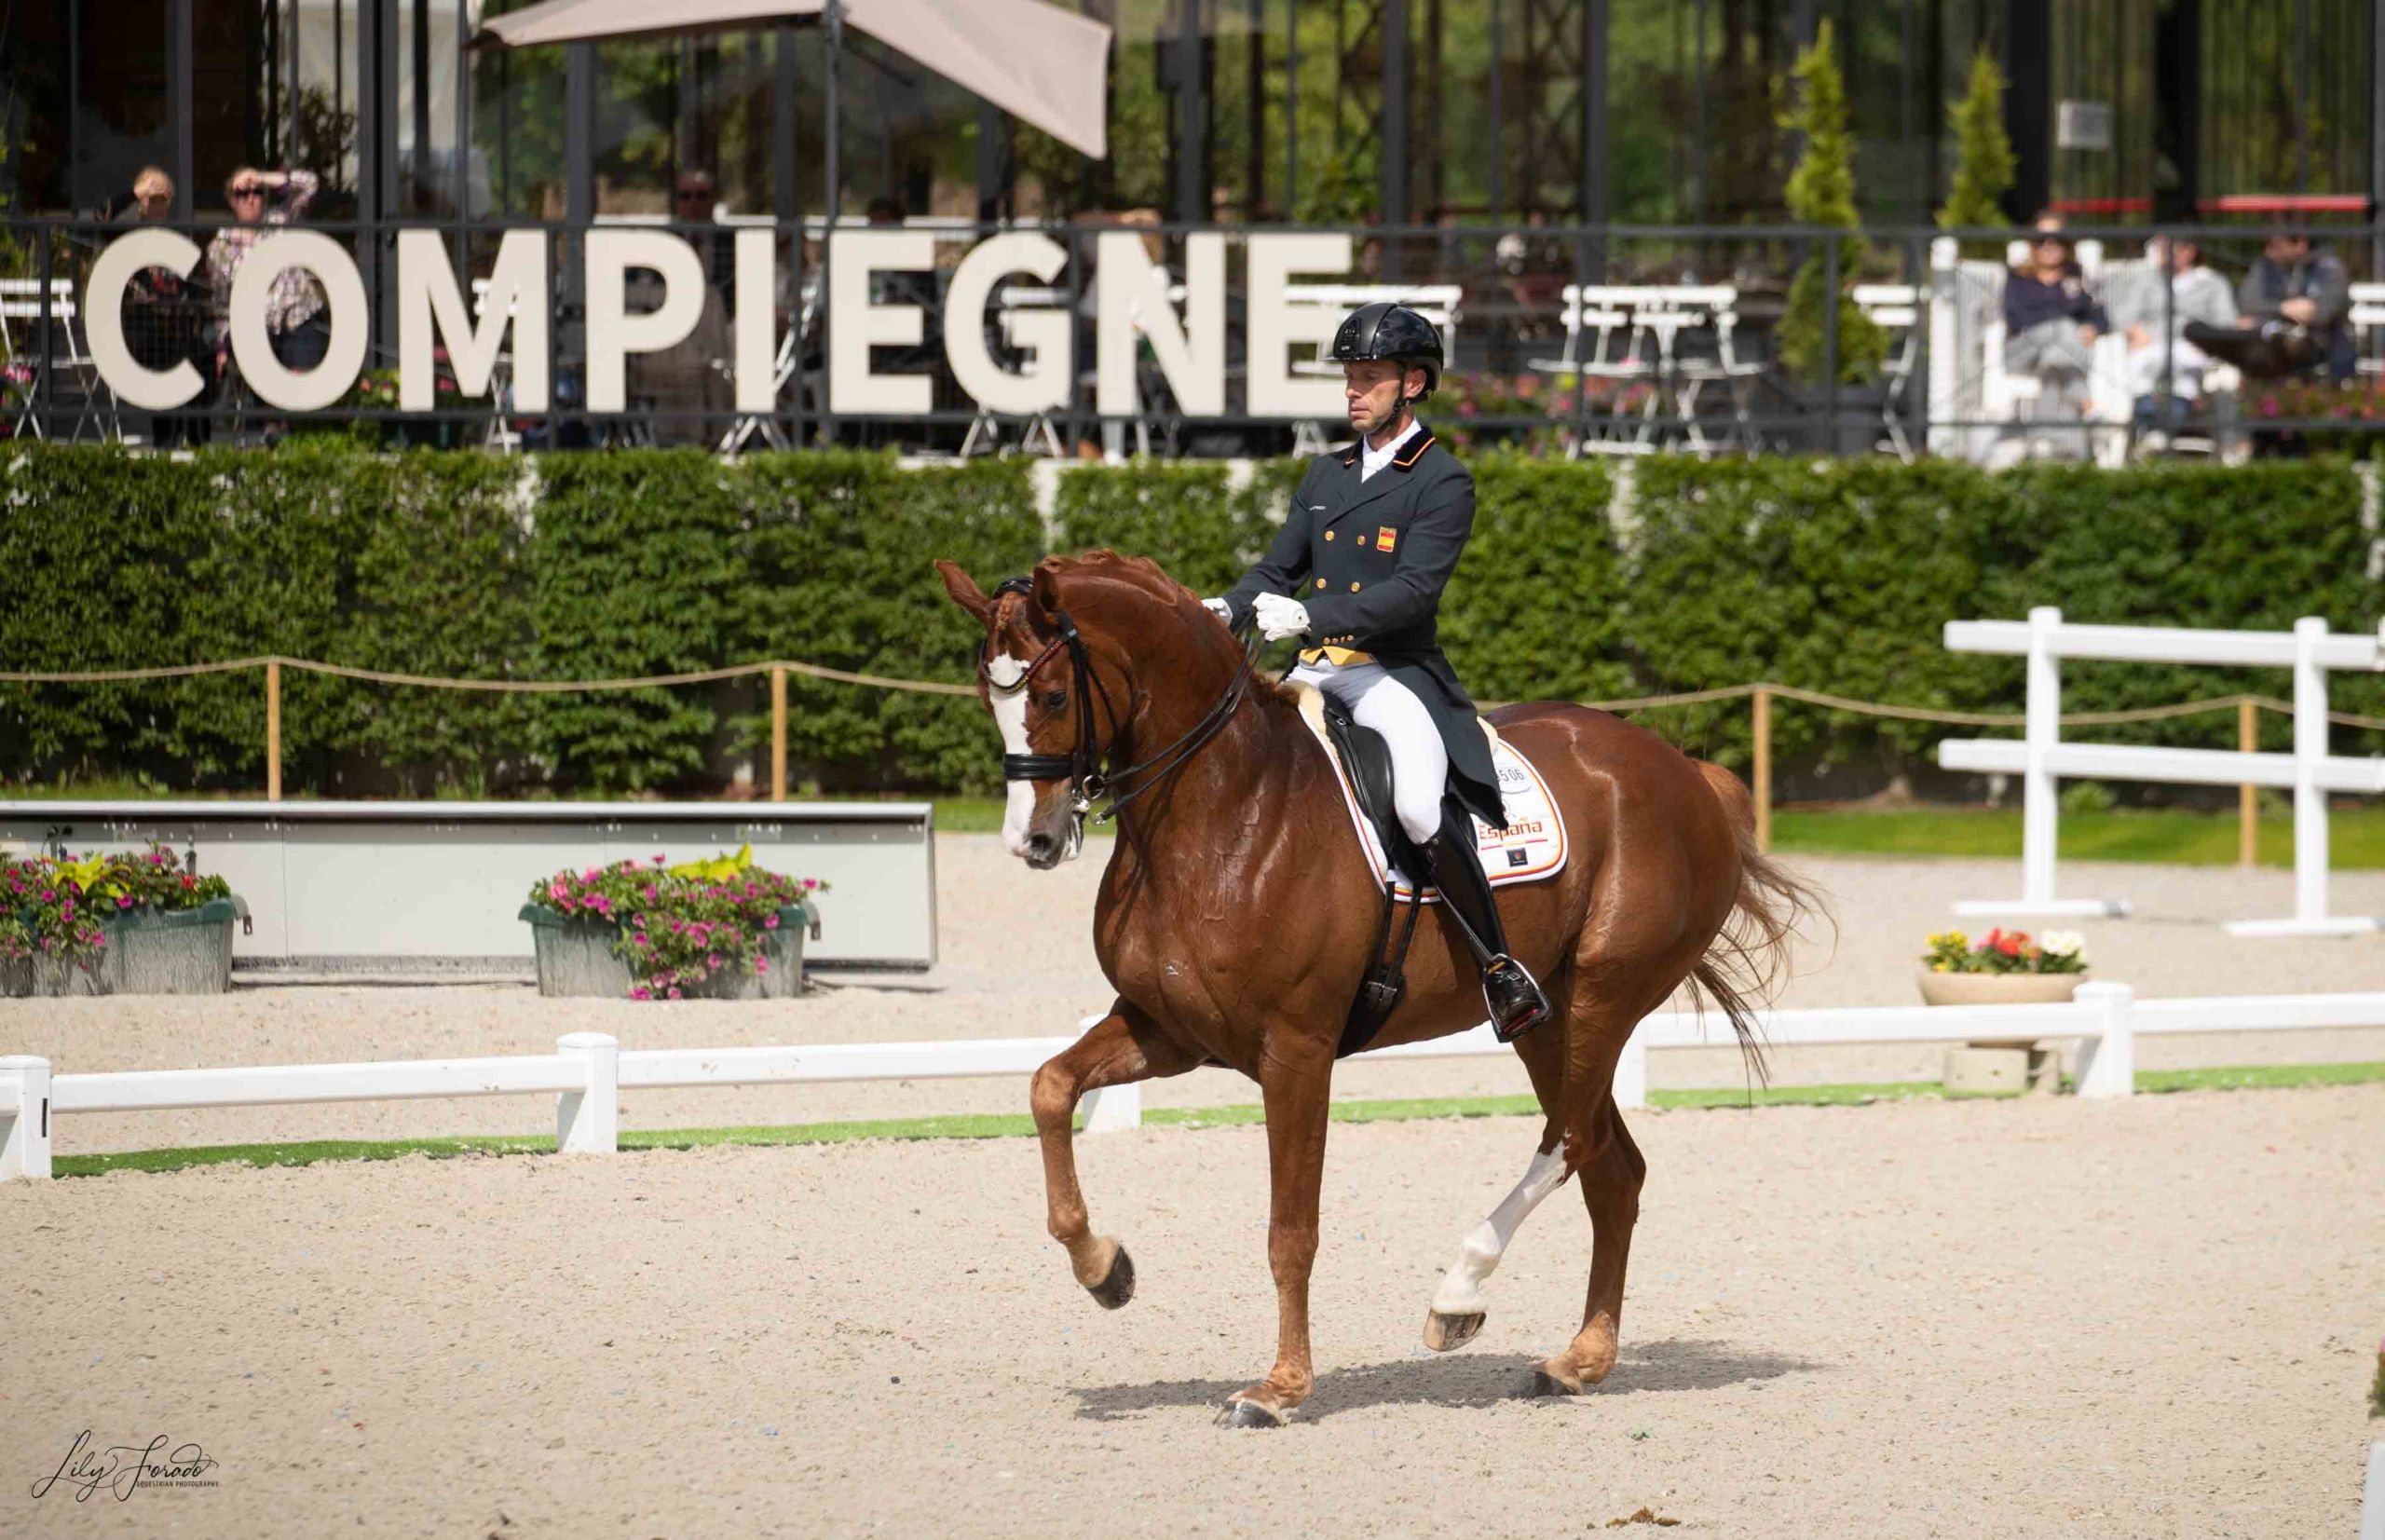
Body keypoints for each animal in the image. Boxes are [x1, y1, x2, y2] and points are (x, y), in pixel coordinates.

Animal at [939, 548, 1812, 1430]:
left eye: (1052, 695)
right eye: (987, 696)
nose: (1033, 839)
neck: (1224, 808)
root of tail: (1685, 772)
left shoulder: (1296, 1050)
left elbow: (1291, 1228)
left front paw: (1279, 1387)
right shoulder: (1168, 1030)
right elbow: (1051, 1088)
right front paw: (1105, 1269)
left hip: (1604, 995)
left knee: (1569, 1142)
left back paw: (1459, 1295)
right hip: (1546, 1019)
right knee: (1612, 1169)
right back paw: (1578, 1361)